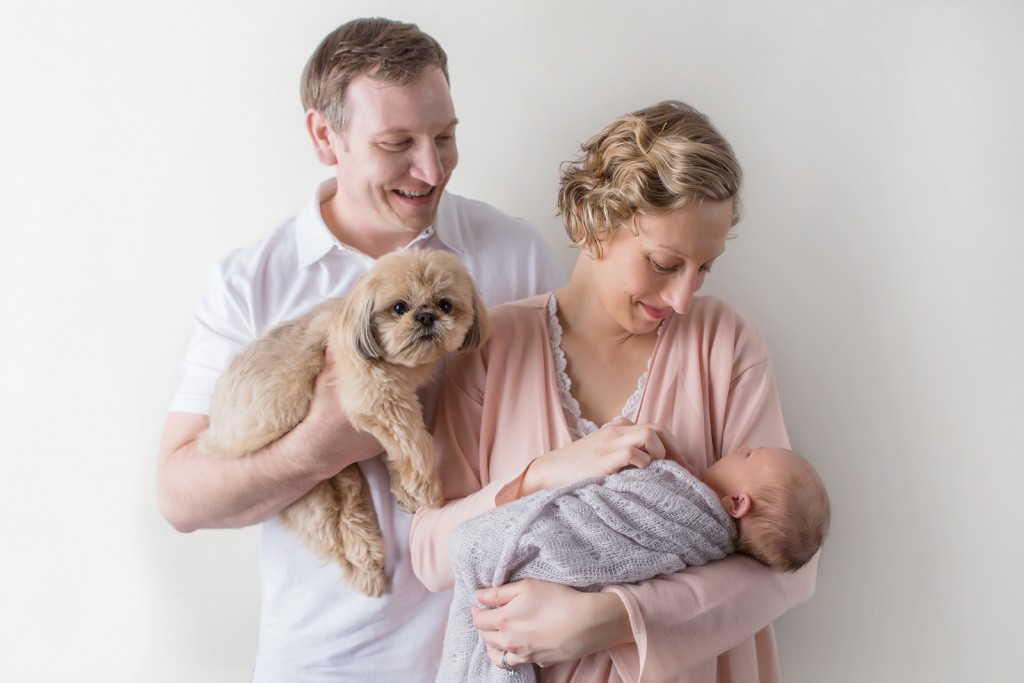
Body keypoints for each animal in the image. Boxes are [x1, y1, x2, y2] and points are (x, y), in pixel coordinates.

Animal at [198, 250, 491, 598]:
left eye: (445, 304)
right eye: (399, 308)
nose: (425, 316)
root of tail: (214, 437)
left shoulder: (388, 411)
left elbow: (396, 451)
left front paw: (404, 489)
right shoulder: (380, 399)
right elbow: (415, 444)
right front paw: (426, 489)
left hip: (341, 478)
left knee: (350, 516)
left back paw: (368, 560)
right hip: (306, 495)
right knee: (333, 537)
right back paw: (365, 573)